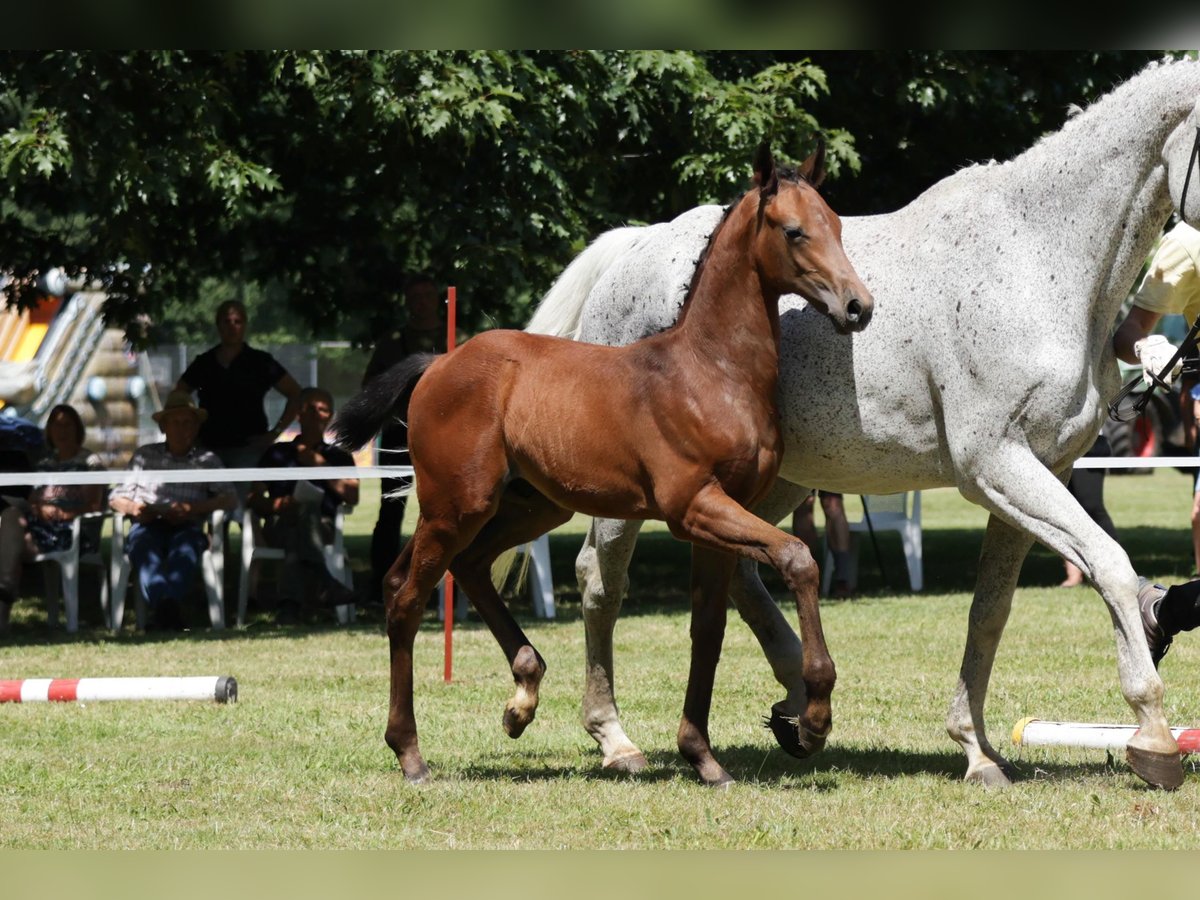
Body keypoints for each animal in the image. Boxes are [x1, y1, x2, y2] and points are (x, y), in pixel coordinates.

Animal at [336, 144, 873, 787]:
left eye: (837, 225)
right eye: (794, 231)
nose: (858, 306)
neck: (710, 371)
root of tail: (438, 362)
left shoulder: (722, 517)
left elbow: (708, 628)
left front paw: (703, 757)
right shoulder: (694, 507)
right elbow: (797, 559)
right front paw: (812, 719)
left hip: (529, 506)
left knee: (462, 567)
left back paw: (522, 696)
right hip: (456, 505)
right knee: (406, 595)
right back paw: (411, 752)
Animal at [528, 58, 1200, 787]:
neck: (1038, 259)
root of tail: (631, 249)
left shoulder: (1039, 471)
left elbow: (990, 612)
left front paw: (977, 749)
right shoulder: (998, 467)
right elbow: (1110, 565)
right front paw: (1154, 735)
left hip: (771, 479)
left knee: (742, 573)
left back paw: (798, 703)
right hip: (640, 492)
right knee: (601, 580)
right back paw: (617, 739)